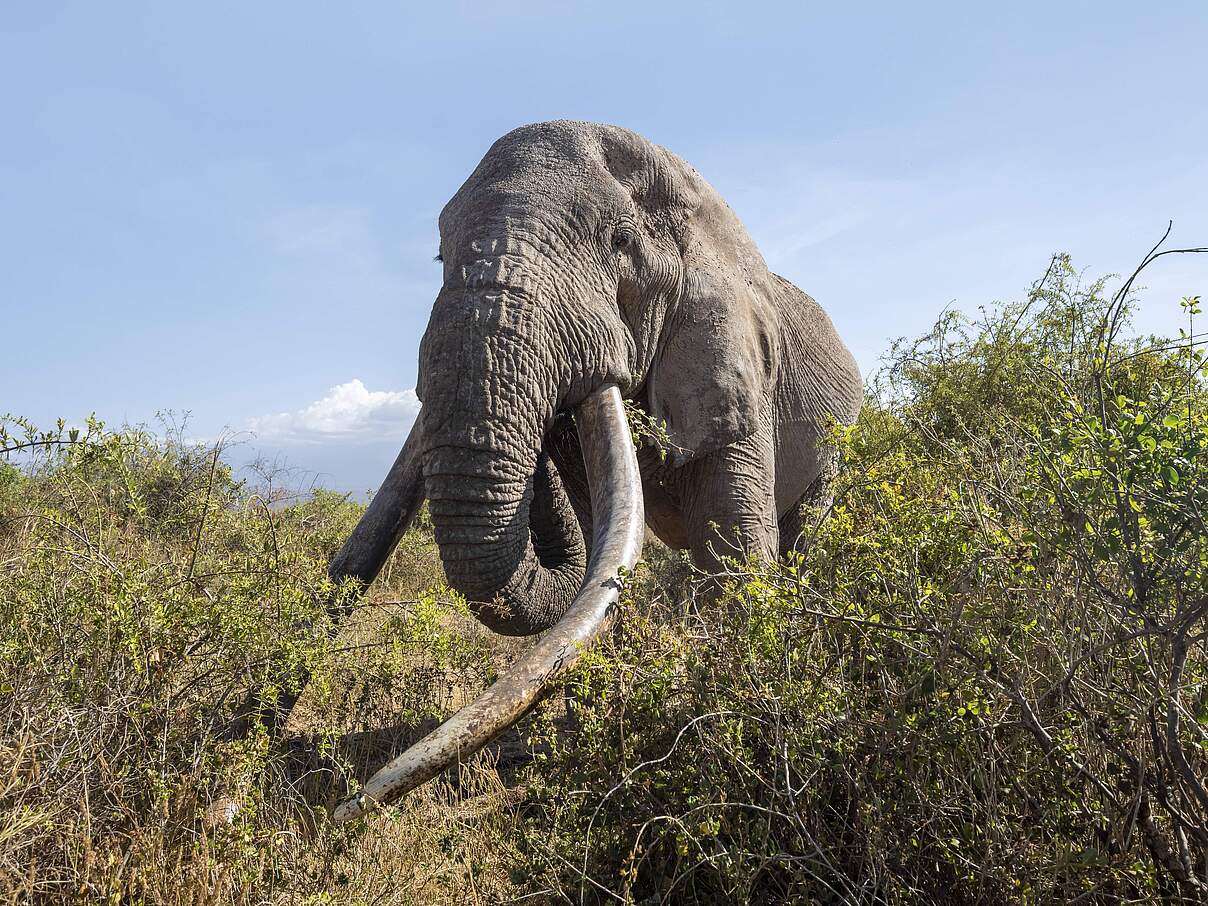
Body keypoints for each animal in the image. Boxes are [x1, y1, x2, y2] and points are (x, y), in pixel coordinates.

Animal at [303, 121, 862, 821]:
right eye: (438, 256)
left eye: (620, 244)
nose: (344, 808)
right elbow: (601, 538)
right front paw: (595, 732)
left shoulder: (735, 365)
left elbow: (732, 547)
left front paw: (734, 721)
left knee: (802, 534)